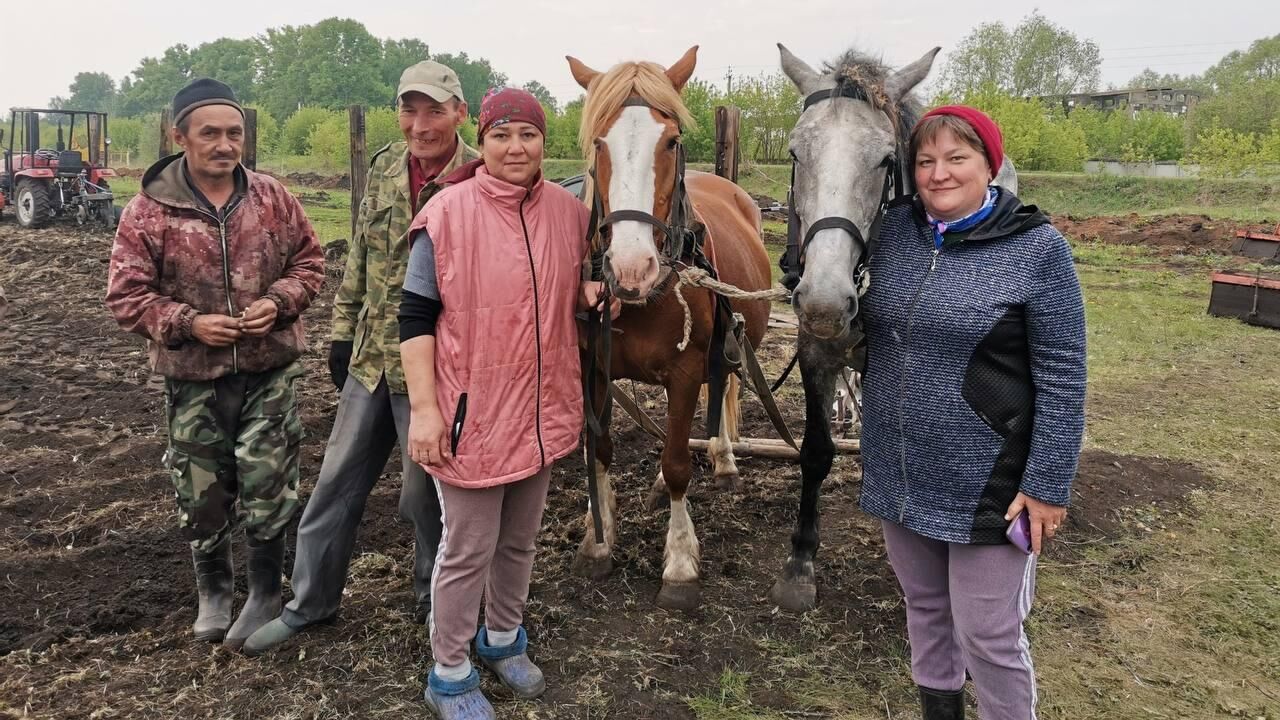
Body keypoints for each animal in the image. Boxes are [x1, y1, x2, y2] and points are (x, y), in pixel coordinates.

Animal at [568, 46, 768, 604]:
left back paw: (723, 459)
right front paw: (598, 541)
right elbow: (601, 451)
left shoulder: (683, 372)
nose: (631, 269)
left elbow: (678, 462)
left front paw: (680, 562)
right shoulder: (593, 367)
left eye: (673, 139)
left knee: (723, 391)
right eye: (599, 141)